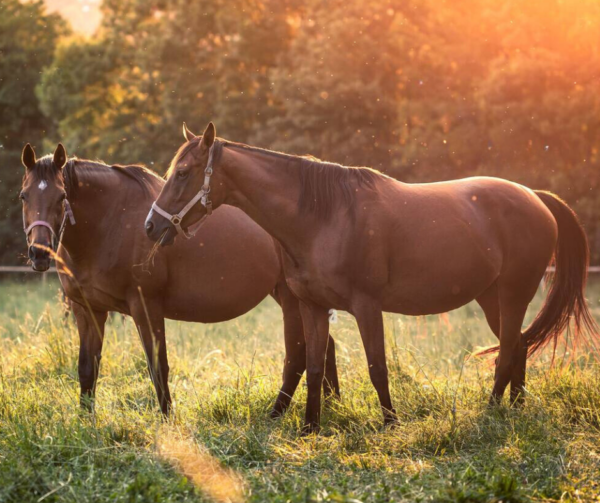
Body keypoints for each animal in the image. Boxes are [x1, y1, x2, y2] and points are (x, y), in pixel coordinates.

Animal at [18, 143, 340, 418]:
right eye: (24, 196)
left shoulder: (145, 307)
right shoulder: (87, 309)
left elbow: (158, 367)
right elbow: (87, 369)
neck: (110, 222)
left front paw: (168, 422)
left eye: (62, 197)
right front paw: (86, 422)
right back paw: (331, 405)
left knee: (298, 355)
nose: (39, 253)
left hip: (291, 299)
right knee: (324, 347)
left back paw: (278, 414)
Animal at [144, 122, 596, 434]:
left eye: (183, 172)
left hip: (514, 294)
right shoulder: (313, 306)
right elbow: (312, 366)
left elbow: (377, 366)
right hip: (491, 299)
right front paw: (309, 428)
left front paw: (391, 425)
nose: (151, 226)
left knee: (507, 353)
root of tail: (535, 197)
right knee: (516, 346)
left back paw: (489, 413)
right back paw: (514, 411)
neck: (323, 217)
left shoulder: (366, 306)